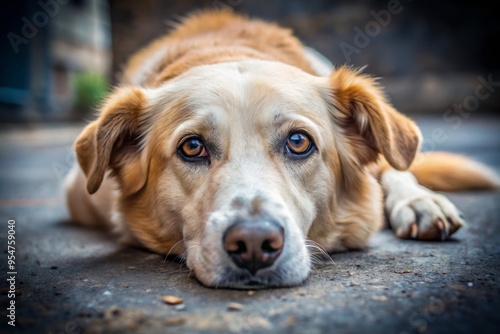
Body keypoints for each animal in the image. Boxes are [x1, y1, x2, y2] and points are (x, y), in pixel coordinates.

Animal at [64, 9, 498, 288]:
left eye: (298, 142)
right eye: (192, 147)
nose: (254, 245)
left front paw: (418, 200)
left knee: (393, 165)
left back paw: (423, 203)